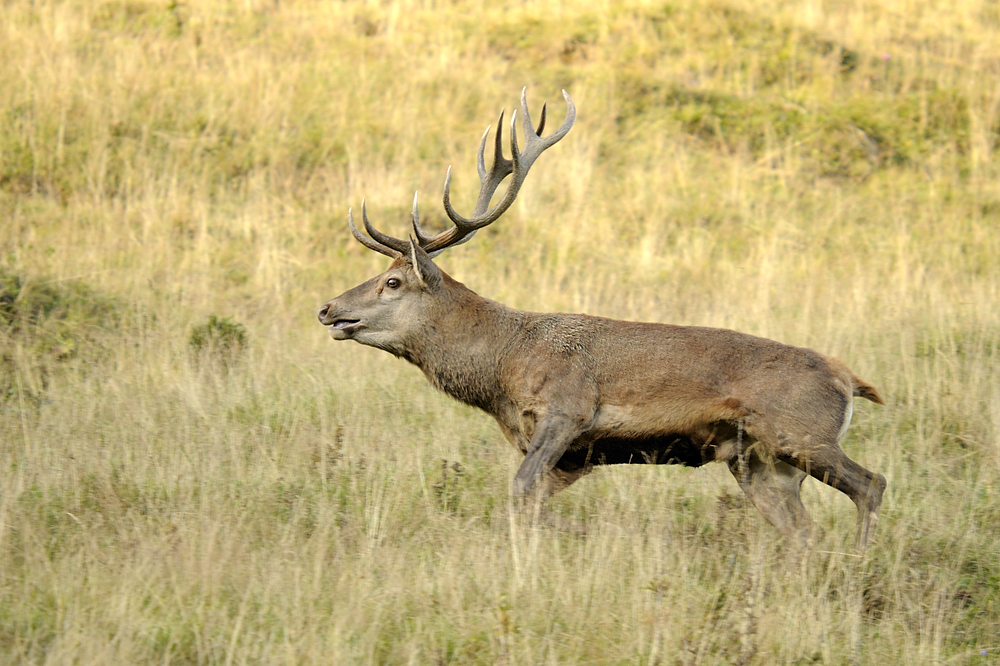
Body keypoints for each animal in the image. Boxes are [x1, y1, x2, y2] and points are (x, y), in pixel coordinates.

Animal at [317, 88, 887, 548]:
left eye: (393, 282)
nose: (328, 308)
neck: (502, 369)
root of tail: (848, 379)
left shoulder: (567, 408)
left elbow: (518, 490)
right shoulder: (571, 455)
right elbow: (530, 499)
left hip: (801, 431)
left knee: (871, 484)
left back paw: (860, 566)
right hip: (760, 464)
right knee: (806, 532)